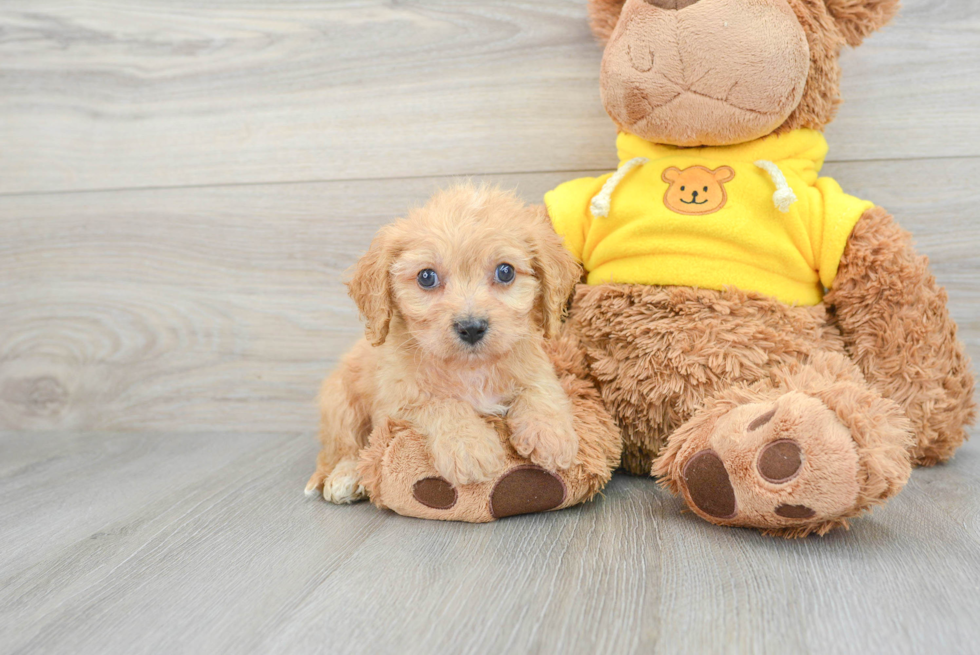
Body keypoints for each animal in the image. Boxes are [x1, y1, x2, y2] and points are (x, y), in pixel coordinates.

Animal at [306, 184, 580, 508]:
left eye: (506, 272)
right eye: (426, 277)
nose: (471, 327)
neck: (471, 368)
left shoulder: (535, 364)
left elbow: (541, 389)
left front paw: (550, 434)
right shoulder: (397, 403)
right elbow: (441, 404)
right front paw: (469, 446)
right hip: (340, 404)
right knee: (340, 448)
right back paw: (345, 477)